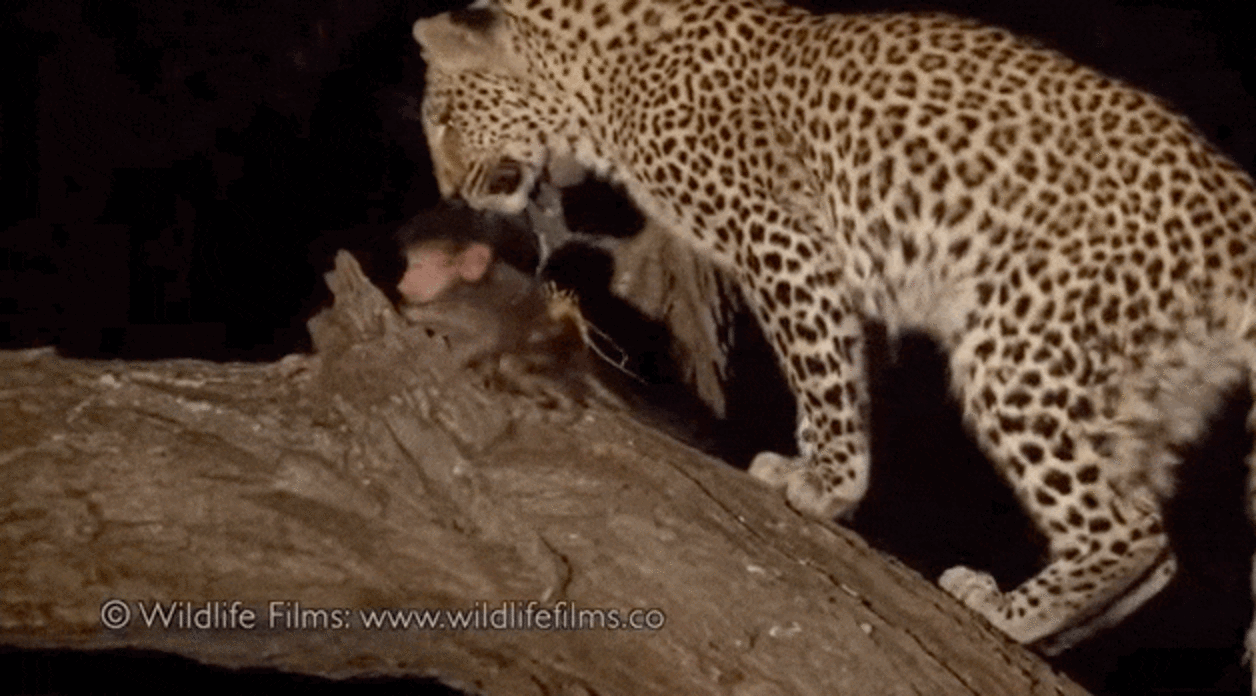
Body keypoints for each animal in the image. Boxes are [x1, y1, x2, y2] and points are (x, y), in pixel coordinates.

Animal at [410, 0, 1256, 664]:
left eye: (444, 119)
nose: (451, 194)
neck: (593, 85)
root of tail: (1233, 208)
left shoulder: (784, 242)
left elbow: (818, 371)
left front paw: (829, 486)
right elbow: (827, 375)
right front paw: (809, 464)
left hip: (1018, 352)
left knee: (1125, 528)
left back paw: (1007, 612)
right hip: (1139, 385)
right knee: (1156, 547)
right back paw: (1035, 632)